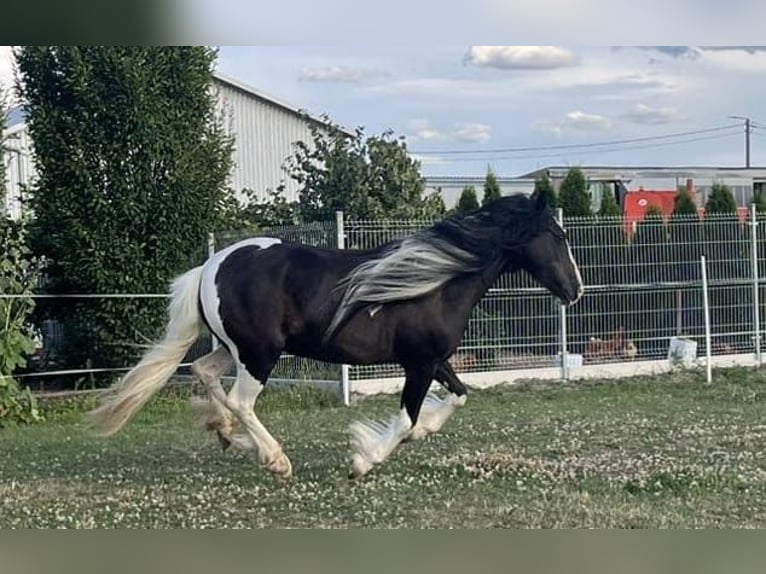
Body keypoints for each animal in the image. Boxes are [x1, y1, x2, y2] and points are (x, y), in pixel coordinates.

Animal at [87, 191, 584, 484]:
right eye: (557, 235)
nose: (575, 290)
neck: (437, 282)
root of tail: (211, 265)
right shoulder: (420, 364)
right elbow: (405, 417)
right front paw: (365, 459)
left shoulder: (433, 361)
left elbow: (459, 397)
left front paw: (421, 432)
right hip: (259, 354)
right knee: (242, 401)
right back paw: (275, 459)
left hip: (235, 350)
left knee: (205, 373)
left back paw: (229, 435)